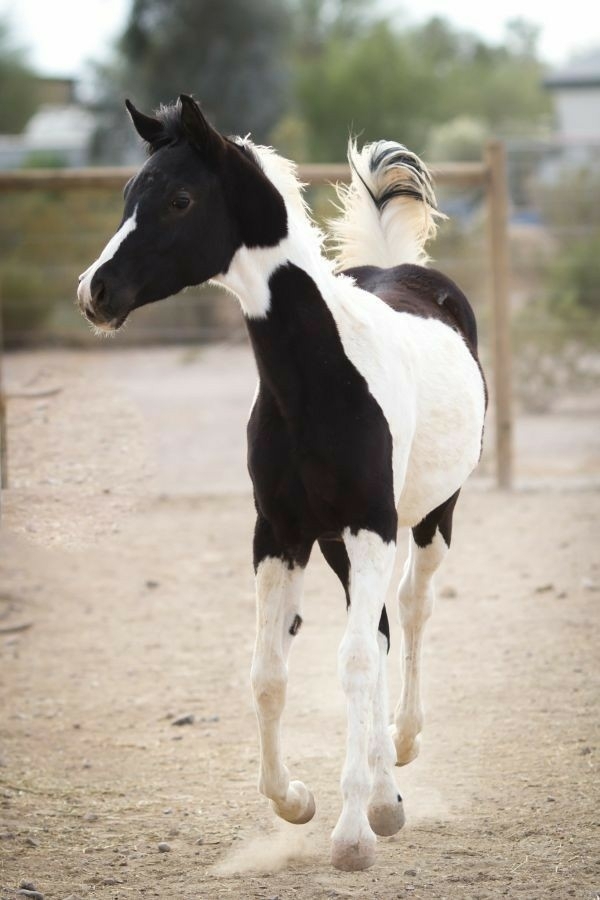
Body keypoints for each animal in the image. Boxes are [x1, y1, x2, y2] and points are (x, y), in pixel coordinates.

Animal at [77, 94, 486, 871]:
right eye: (127, 196)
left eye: (179, 199)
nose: (95, 293)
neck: (320, 381)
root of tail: (401, 269)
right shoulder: (280, 534)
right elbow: (268, 670)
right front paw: (297, 801)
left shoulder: (371, 525)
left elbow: (351, 661)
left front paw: (352, 835)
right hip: (340, 545)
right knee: (380, 631)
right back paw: (388, 796)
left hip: (428, 520)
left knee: (411, 612)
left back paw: (402, 748)